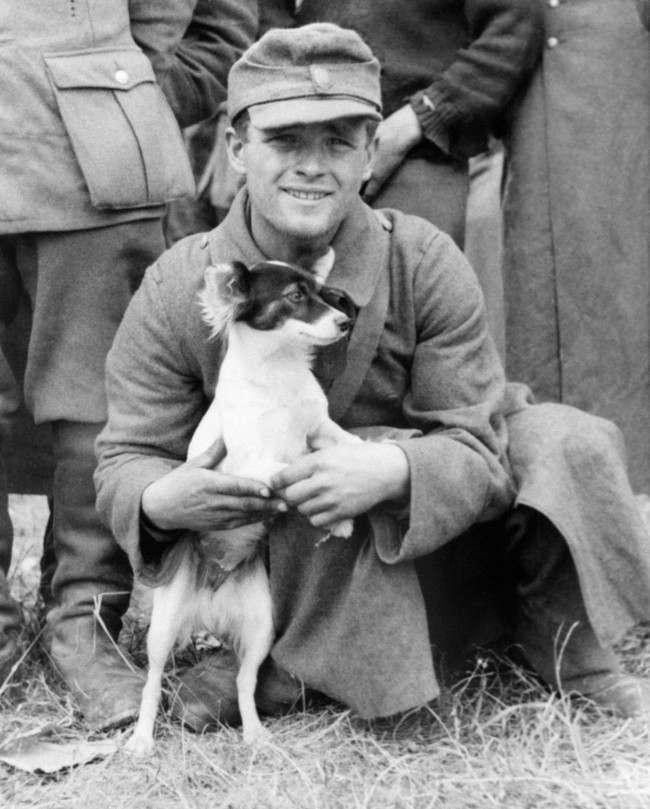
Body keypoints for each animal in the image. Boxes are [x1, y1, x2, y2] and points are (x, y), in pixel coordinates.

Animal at [126, 249, 360, 756]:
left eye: (325, 294)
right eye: (295, 297)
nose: (345, 321)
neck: (279, 371)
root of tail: (210, 606)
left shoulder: (319, 429)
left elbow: (346, 446)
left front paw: (347, 510)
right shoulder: (251, 465)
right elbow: (293, 471)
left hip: (259, 630)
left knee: (244, 682)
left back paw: (254, 734)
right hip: (163, 628)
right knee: (153, 682)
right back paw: (141, 739)